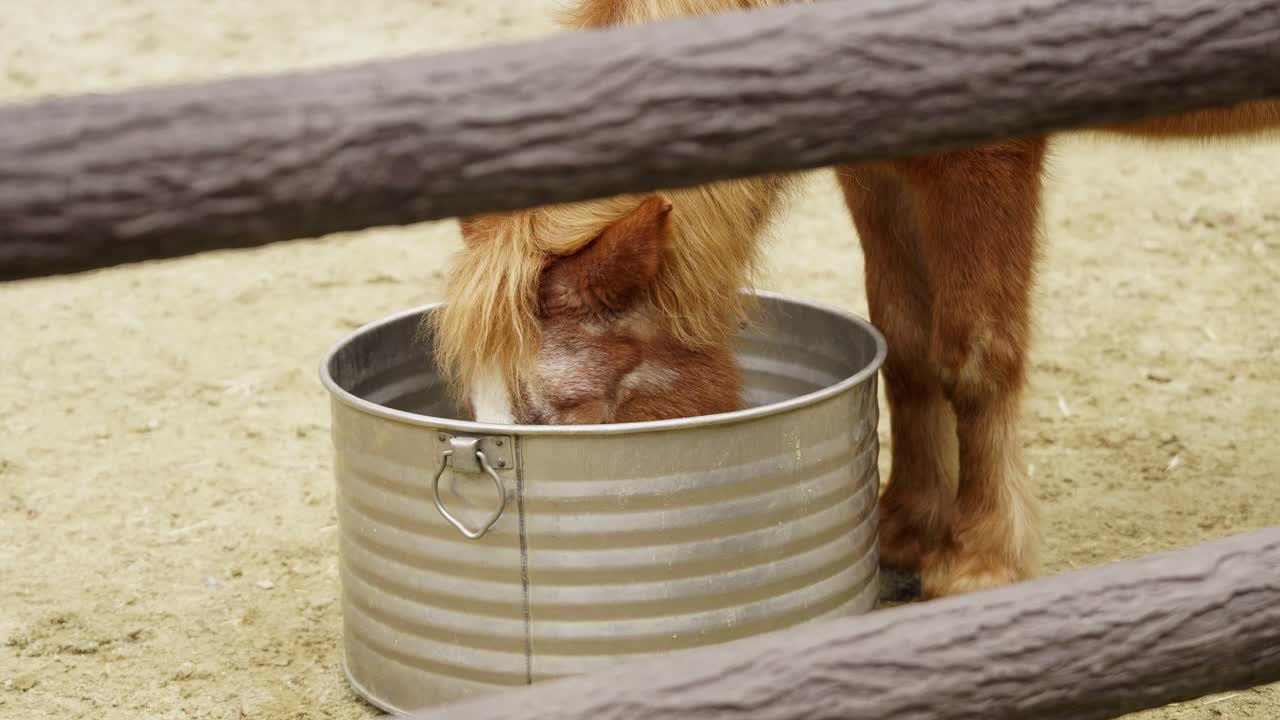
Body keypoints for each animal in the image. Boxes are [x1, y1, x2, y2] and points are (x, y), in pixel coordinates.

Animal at [431, 0, 1280, 599]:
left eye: (572, 415)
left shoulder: (981, 159)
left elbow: (976, 358)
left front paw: (977, 560)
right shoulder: (879, 166)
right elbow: (906, 348)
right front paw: (904, 529)